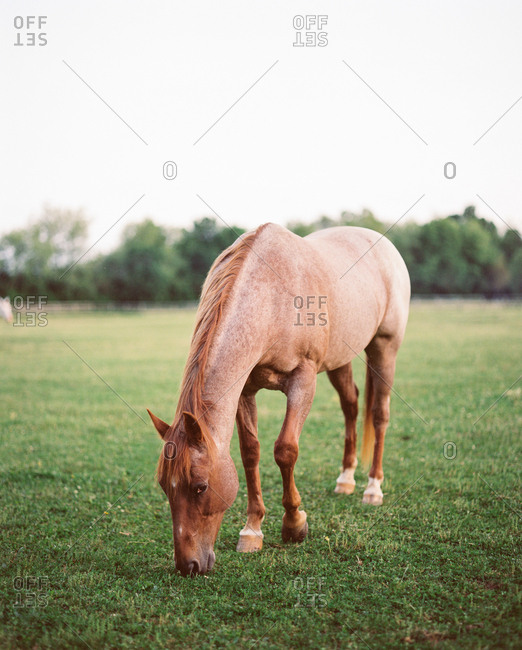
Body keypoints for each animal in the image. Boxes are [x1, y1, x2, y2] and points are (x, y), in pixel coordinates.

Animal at [147, 223, 410, 575]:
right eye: (165, 486)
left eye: (199, 486)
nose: (187, 565)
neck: (271, 299)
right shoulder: (245, 389)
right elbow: (250, 453)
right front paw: (252, 530)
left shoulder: (303, 380)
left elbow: (285, 450)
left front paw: (294, 524)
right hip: (340, 359)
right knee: (351, 405)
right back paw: (345, 479)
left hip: (385, 348)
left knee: (379, 414)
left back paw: (372, 488)